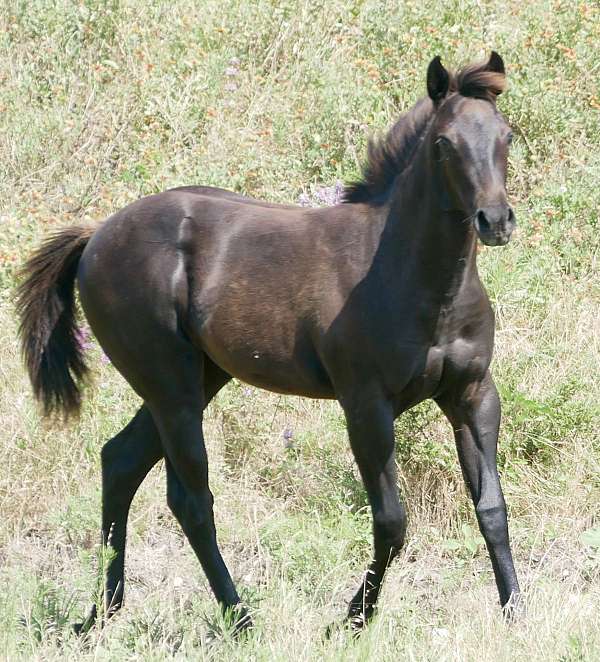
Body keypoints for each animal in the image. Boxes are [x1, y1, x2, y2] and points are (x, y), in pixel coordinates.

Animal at [15, 52, 520, 632]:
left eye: (506, 135)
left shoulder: (473, 396)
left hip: (200, 378)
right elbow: (392, 522)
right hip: (172, 389)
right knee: (190, 499)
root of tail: (97, 235)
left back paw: (102, 611)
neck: (418, 280)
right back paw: (238, 619)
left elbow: (492, 509)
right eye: (444, 142)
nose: (495, 220)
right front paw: (352, 620)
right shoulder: (366, 406)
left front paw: (516, 613)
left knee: (120, 462)